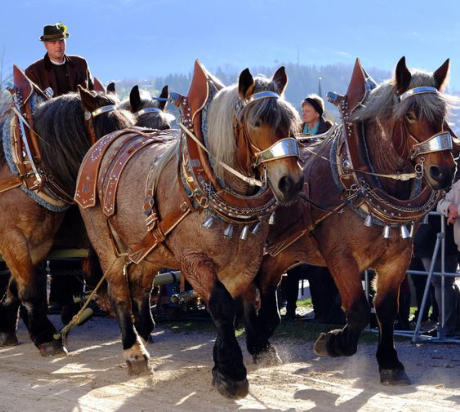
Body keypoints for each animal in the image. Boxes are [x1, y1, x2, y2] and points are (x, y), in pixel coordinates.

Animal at [0, 67, 135, 354]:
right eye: (111, 131)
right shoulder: (12, 239)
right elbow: (30, 288)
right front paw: (45, 336)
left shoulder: (38, 242)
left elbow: (19, 288)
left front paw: (14, 328)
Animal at [75, 61, 304, 400]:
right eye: (257, 121)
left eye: (295, 123)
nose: (292, 183)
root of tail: (103, 142)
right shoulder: (194, 261)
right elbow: (221, 307)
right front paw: (230, 372)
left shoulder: (247, 256)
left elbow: (249, 300)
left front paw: (254, 348)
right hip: (108, 247)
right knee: (119, 292)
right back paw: (134, 351)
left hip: (147, 250)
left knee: (140, 284)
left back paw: (146, 329)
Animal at [244, 57, 456, 386]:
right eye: (411, 114)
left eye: (442, 113)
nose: (444, 172)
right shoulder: (340, 257)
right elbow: (358, 309)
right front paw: (333, 342)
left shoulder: (397, 258)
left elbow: (385, 309)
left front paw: (390, 363)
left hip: (281, 253)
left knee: (266, 295)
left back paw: (262, 344)